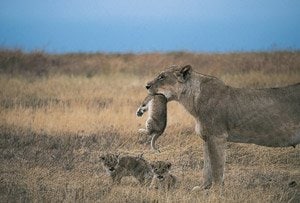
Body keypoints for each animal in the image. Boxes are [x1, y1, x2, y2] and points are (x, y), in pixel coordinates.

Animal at [145, 64, 300, 189]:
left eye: (162, 76)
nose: (146, 86)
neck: (193, 99)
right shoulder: (206, 138)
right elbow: (207, 167)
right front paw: (204, 188)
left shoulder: (217, 136)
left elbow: (217, 168)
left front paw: (216, 191)